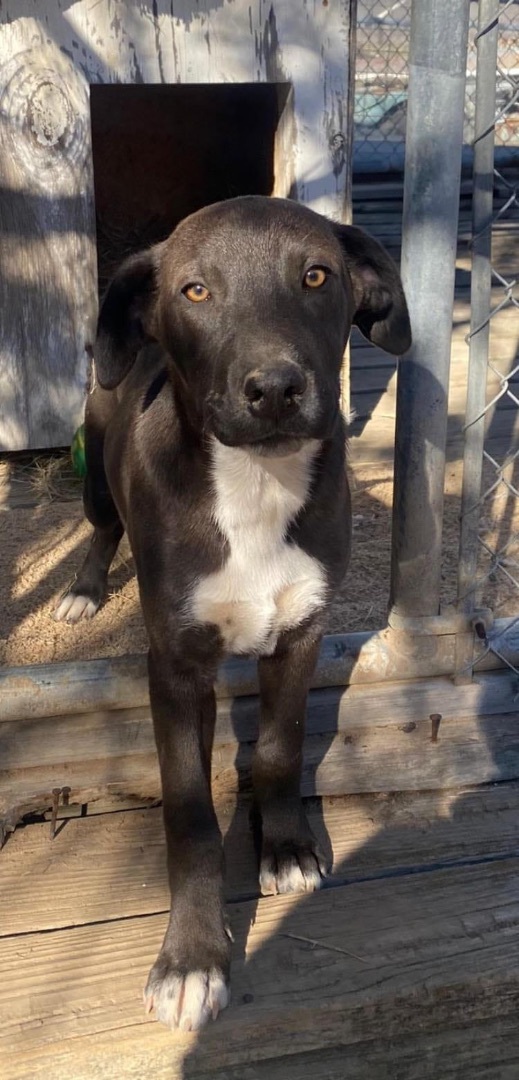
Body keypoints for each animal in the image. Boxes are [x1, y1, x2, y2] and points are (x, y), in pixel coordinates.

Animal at [55, 198, 407, 1032]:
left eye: (316, 276)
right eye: (195, 291)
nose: (275, 388)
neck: (254, 483)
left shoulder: (301, 635)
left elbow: (278, 750)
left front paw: (285, 849)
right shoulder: (176, 667)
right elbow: (188, 815)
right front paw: (191, 958)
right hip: (95, 471)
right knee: (101, 527)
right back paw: (83, 589)